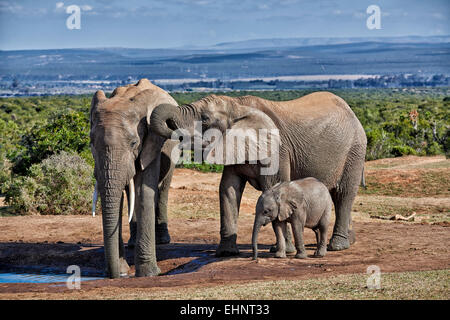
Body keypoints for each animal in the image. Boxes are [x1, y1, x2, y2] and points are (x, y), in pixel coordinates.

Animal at [90, 78, 178, 278]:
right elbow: (119, 196)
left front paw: (149, 274)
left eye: (133, 143)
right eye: (91, 143)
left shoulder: (152, 141)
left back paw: (162, 240)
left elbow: (144, 191)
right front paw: (122, 271)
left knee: (162, 188)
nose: (114, 275)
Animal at [149, 91, 368, 256]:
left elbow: (274, 185)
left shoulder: (277, 149)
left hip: (355, 149)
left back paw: (338, 246)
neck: (237, 106)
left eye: (205, 119)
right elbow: (228, 189)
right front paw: (226, 253)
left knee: (344, 195)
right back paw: (349, 240)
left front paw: (284, 251)